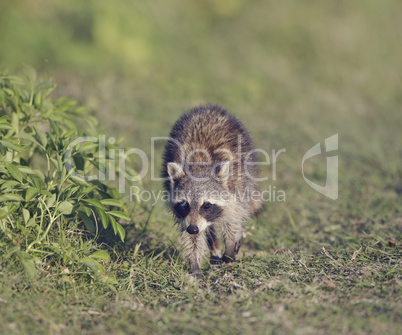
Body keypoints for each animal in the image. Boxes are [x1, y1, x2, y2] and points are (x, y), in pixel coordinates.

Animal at [162, 105, 262, 280]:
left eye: (207, 205)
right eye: (184, 205)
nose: (193, 228)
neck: (199, 166)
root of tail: (210, 107)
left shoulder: (236, 189)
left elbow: (233, 221)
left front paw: (230, 250)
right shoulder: (186, 216)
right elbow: (193, 239)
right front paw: (195, 265)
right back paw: (214, 250)